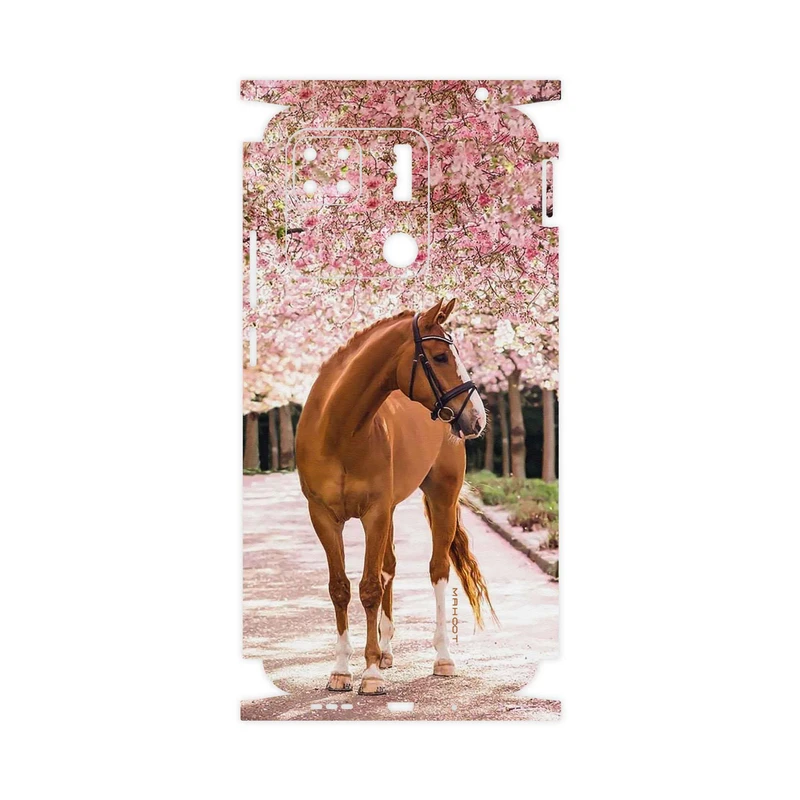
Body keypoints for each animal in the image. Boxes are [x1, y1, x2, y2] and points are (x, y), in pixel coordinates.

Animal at [295, 298, 496, 695]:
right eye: (440, 356)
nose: (477, 418)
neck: (338, 431)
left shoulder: (374, 513)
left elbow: (370, 588)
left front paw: (370, 674)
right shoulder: (324, 517)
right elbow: (340, 588)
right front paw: (341, 670)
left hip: (441, 497)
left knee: (437, 570)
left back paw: (442, 658)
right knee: (389, 567)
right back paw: (386, 651)